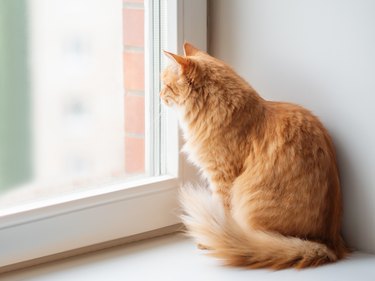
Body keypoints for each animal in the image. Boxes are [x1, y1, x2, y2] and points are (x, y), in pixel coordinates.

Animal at [160, 42, 348, 268]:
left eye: (165, 85)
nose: (159, 95)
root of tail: (329, 245)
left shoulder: (222, 177)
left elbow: (222, 211)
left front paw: (212, 241)